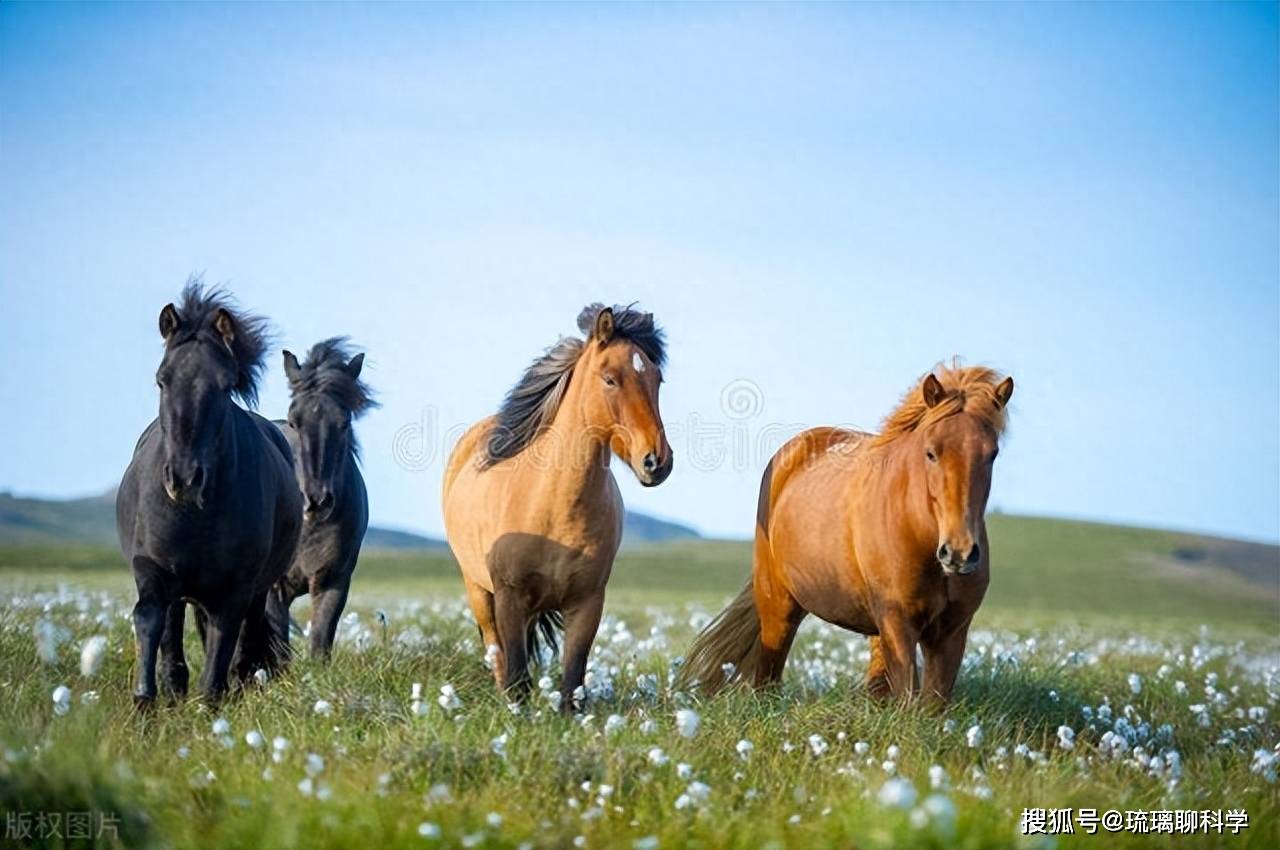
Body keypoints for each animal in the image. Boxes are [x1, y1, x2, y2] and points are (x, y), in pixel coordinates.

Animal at [115, 281, 302, 706]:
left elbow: (221, 653)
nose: (184, 478)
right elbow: (150, 624)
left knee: (247, 633)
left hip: (253, 588)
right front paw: (145, 703)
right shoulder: (152, 571)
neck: (195, 516)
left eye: (225, 384)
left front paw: (210, 705)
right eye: (161, 379)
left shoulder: (233, 591)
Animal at [263, 337, 373, 665]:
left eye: (344, 422)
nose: (317, 500)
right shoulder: (273, 589)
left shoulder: (332, 581)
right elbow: (279, 649)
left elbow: (320, 641)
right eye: (293, 422)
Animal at [445, 302, 675, 706]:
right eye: (610, 379)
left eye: (657, 379)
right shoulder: (509, 597)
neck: (554, 507)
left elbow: (572, 680)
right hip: (480, 593)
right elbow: (517, 675)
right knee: (497, 655)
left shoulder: (587, 603)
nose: (657, 461)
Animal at [675, 366, 1013, 701]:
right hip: (778, 608)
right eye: (931, 453)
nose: (958, 553)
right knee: (767, 677)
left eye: (992, 454)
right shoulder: (897, 624)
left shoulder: (951, 633)